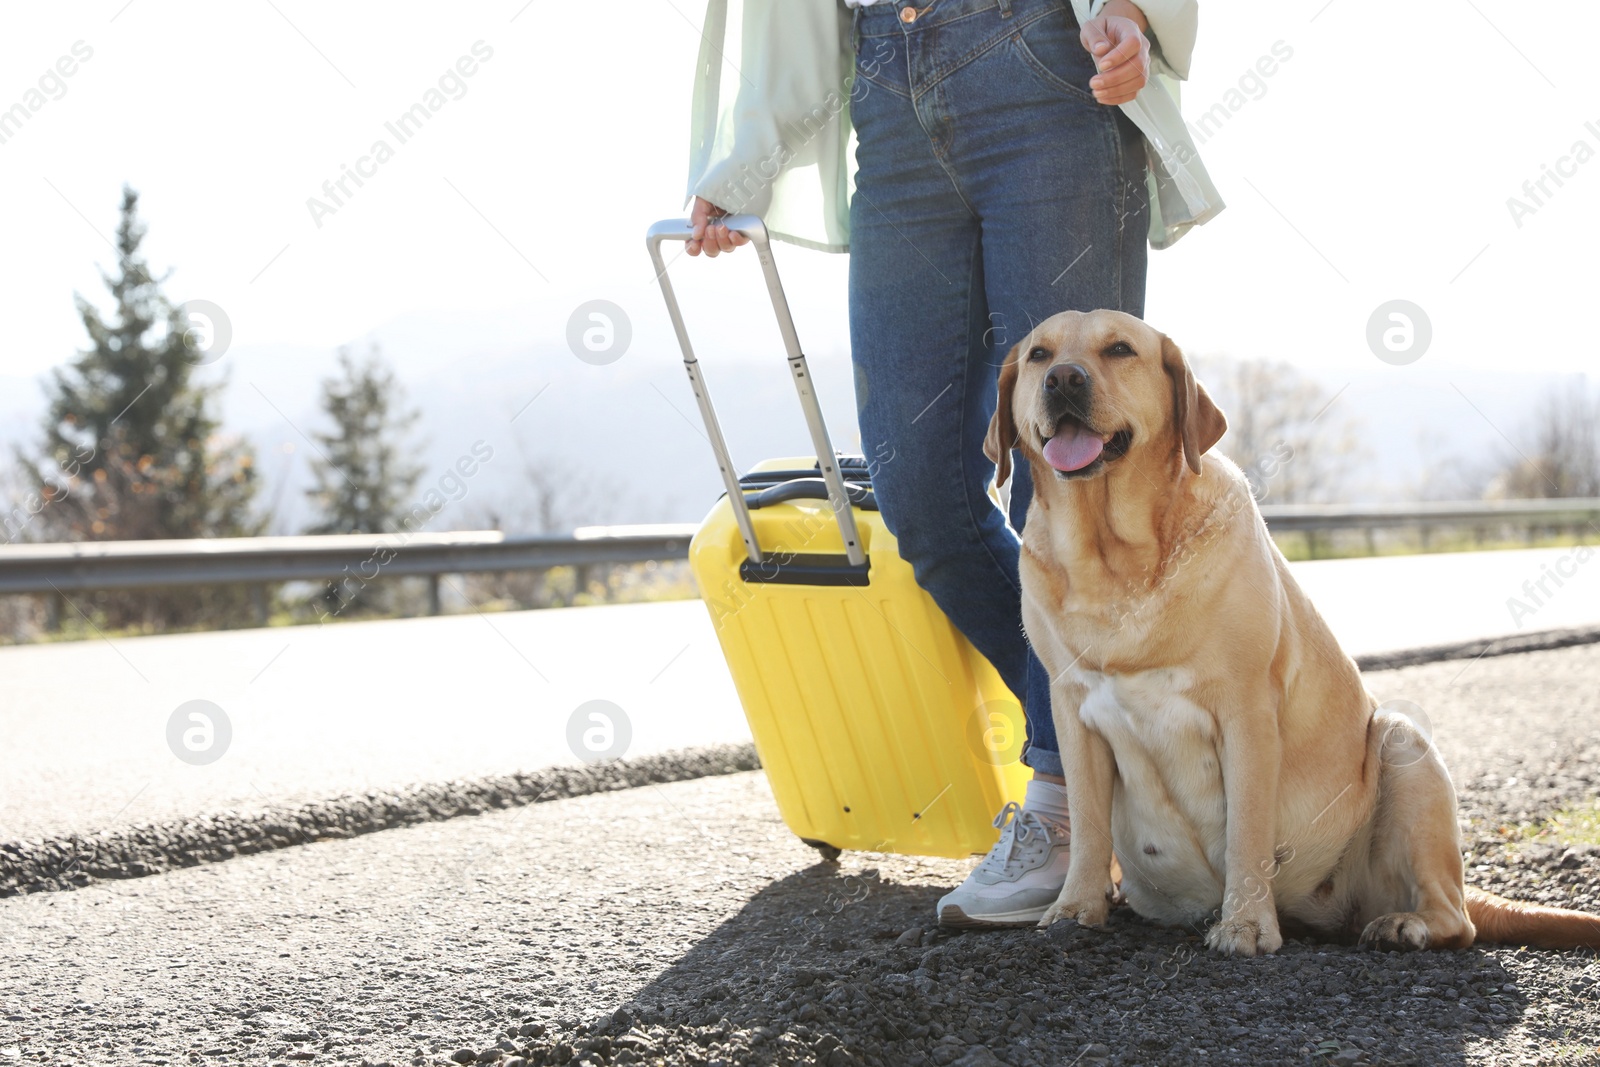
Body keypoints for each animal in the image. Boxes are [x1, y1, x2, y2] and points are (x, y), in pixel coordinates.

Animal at [985, 307, 1600, 953]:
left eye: (1120, 349)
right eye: (1040, 355)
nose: (1064, 379)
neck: (1114, 562)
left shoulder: (1247, 711)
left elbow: (1247, 831)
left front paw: (1247, 925)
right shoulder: (1072, 712)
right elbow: (1086, 821)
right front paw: (1076, 906)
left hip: (1403, 740)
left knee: (1458, 918)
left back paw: (1404, 923)